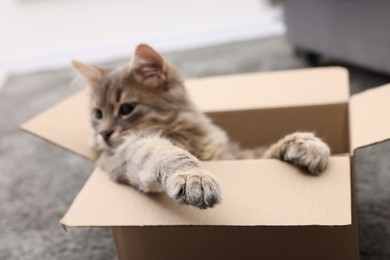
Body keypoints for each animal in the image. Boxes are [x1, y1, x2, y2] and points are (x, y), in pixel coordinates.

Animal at [72, 42, 330, 209]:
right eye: (98, 114)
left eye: (127, 108)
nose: (103, 133)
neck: (186, 133)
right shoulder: (127, 153)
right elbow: (169, 153)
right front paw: (194, 177)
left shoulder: (236, 155)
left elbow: (268, 151)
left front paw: (305, 144)